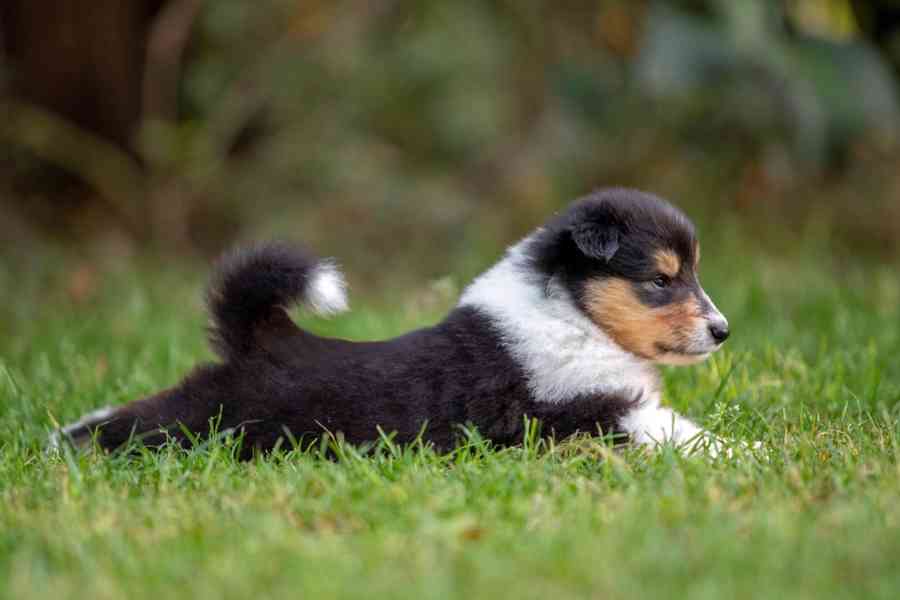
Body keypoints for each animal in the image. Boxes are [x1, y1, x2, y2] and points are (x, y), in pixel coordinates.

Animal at [52, 190, 736, 458]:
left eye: (693, 272)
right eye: (660, 280)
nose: (722, 330)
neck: (572, 311)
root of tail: (264, 336)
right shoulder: (595, 411)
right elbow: (686, 434)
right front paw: (748, 456)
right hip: (210, 417)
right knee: (147, 421)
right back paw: (71, 440)